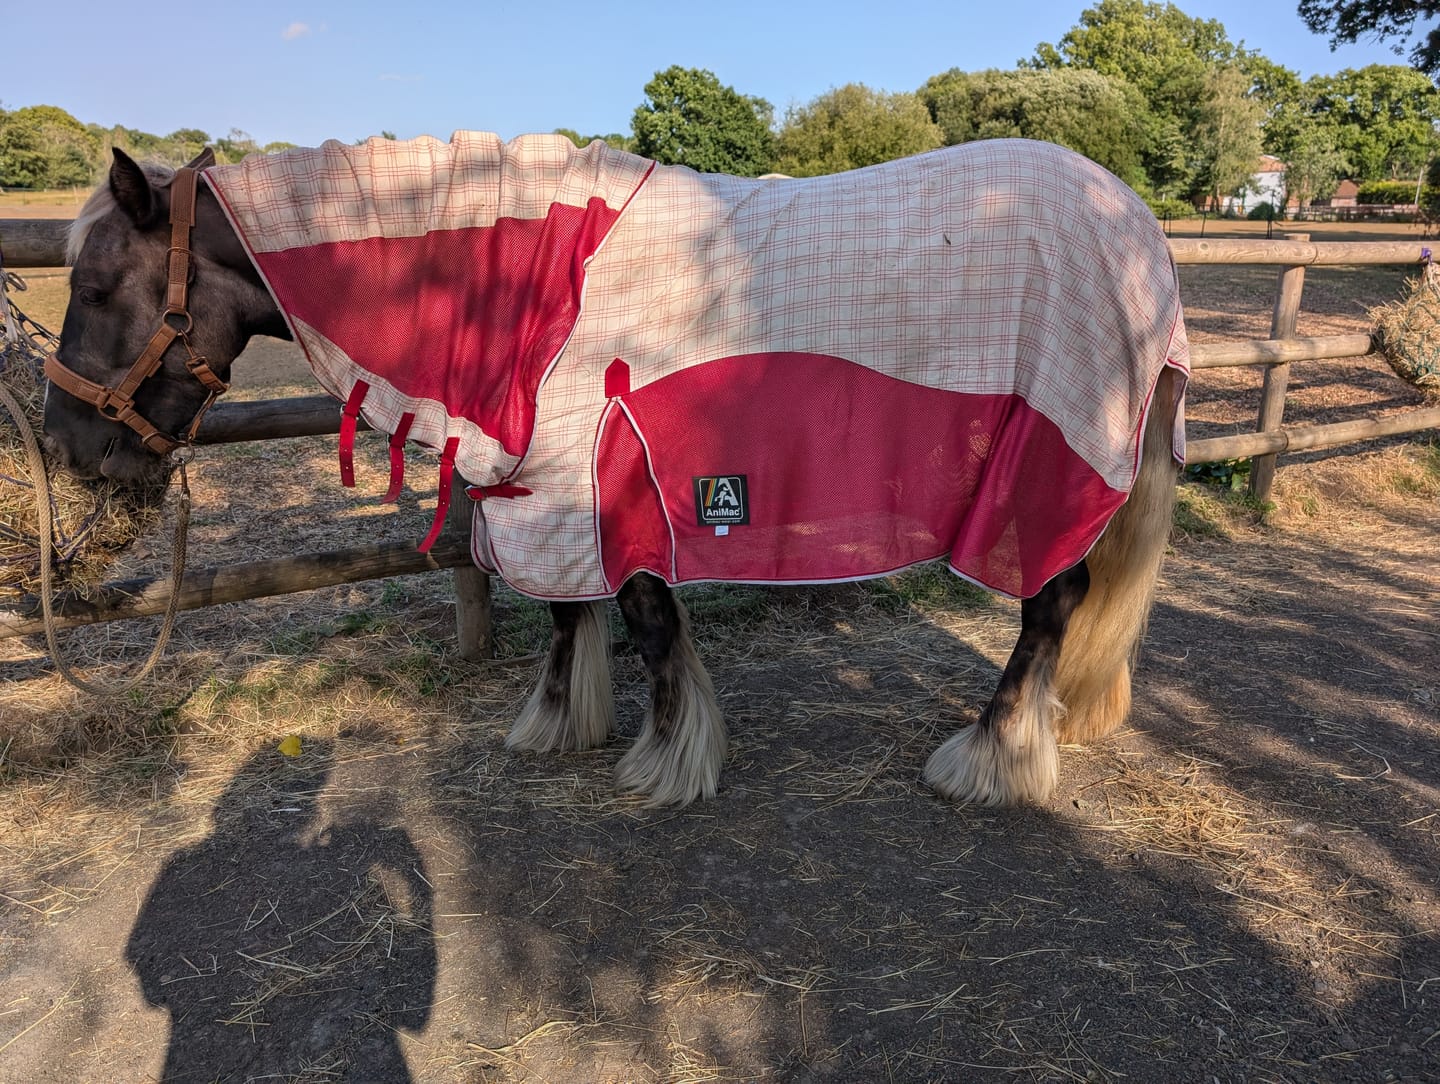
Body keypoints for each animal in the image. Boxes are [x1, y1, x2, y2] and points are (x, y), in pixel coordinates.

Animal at [42, 133, 1189, 809]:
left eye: (95, 286)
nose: (66, 448)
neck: (525, 285)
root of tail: (1136, 225)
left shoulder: (606, 483)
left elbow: (643, 623)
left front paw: (670, 762)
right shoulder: (555, 491)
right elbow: (570, 617)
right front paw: (560, 728)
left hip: (1051, 462)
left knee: (1052, 601)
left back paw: (990, 756)